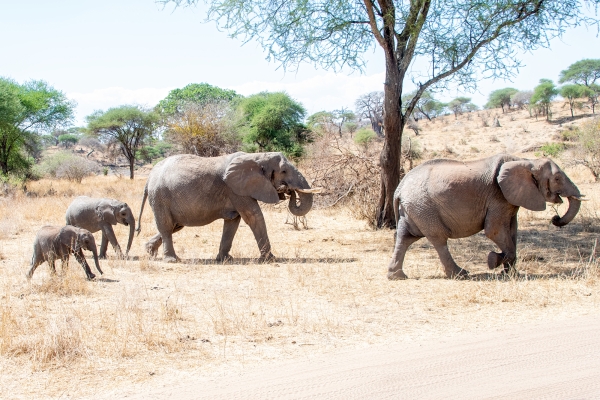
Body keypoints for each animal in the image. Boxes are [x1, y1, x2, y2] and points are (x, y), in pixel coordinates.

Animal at [386, 155, 584, 280]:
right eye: (557, 178)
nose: (555, 218)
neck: (527, 160)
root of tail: (399, 188)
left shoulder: (509, 200)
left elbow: (512, 232)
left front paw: (510, 274)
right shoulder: (498, 196)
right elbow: (494, 230)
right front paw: (493, 261)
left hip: (414, 208)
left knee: (405, 237)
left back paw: (397, 276)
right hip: (424, 207)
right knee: (438, 239)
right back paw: (460, 274)